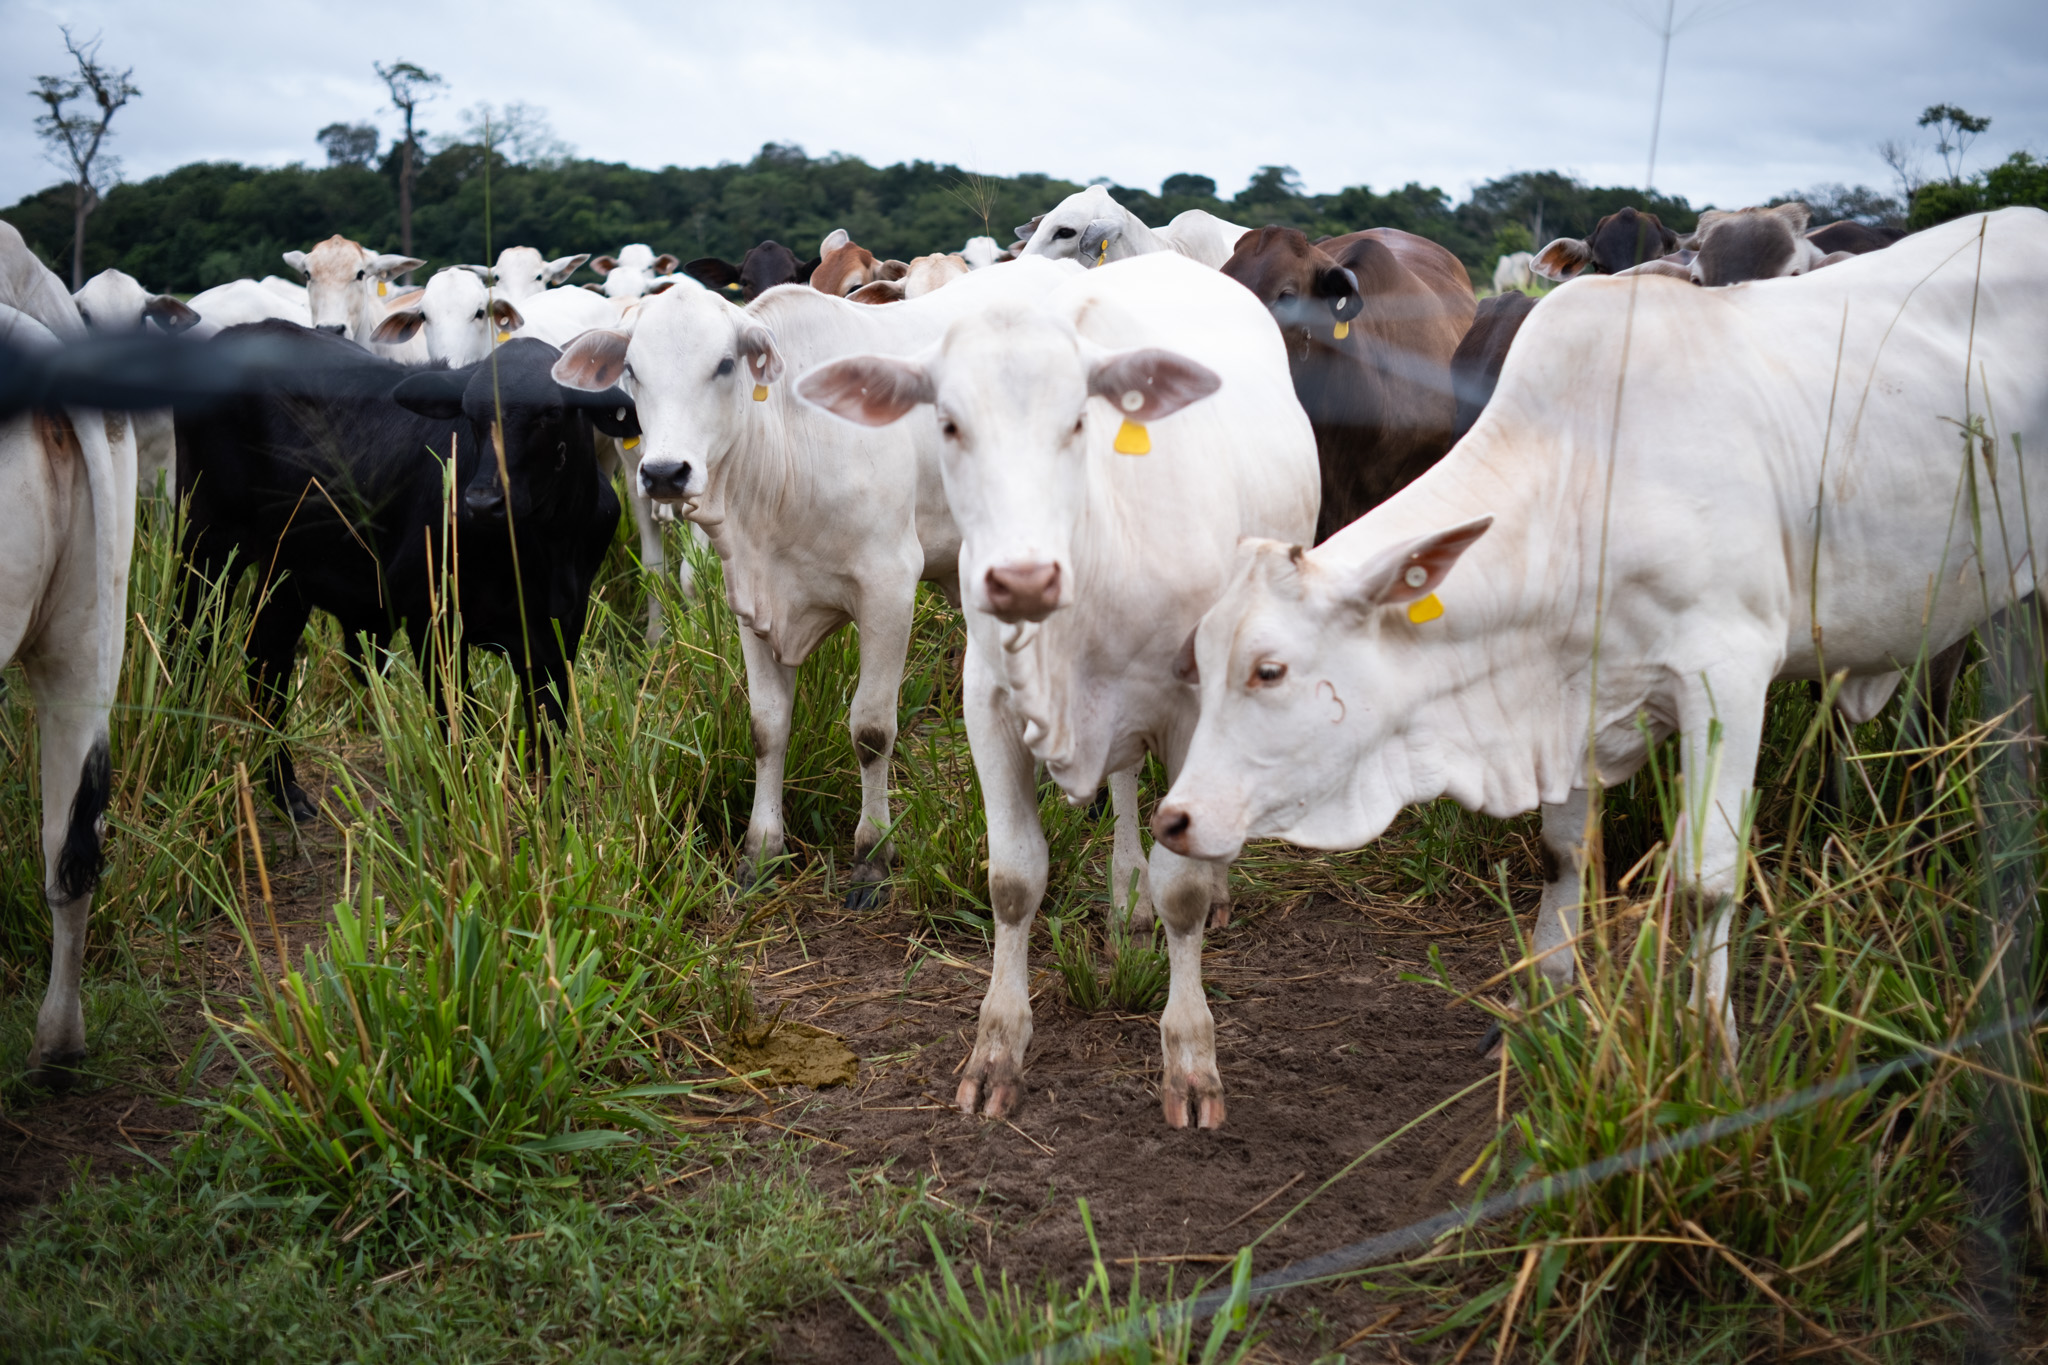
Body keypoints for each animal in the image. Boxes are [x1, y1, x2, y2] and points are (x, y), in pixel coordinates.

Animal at [175, 324, 628, 819]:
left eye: (551, 413)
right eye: (471, 415)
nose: (482, 503)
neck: (543, 551)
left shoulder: (559, 633)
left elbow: (547, 734)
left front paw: (550, 817)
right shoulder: (431, 619)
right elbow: (457, 721)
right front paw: (459, 809)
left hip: (288, 569)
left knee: (266, 658)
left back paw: (285, 792)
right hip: (208, 537)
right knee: (192, 640)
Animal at [549, 260, 1178, 915]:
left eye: (723, 364)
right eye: (631, 369)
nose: (664, 473)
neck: (790, 444)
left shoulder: (889, 588)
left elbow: (871, 731)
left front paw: (872, 856)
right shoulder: (752, 597)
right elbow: (766, 728)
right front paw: (761, 850)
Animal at [799, 252, 1320, 1127]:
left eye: (1080, 420)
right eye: (948, 423)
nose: (1021, 577)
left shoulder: (1192, 707)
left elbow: (1183, 888)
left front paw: (1191, 1059)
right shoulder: (987, 703)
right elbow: (1014, 879)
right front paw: (997, 1048)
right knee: (1124, 785)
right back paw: (1126, 894)